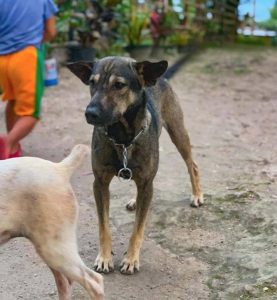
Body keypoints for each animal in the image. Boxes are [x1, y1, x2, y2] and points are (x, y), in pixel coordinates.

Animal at [66, 56, 201, 274]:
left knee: (192, 164)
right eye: (92, 82)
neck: (122, 136)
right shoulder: (100, 183)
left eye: (119, 85)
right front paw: (104, 257)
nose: (90, 113)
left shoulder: (146, 183)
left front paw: (130, 259)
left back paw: (197, 194)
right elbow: (103, 226)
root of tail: (159, 77)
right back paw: (134, 200)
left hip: (178, 131)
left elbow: (138, 228)